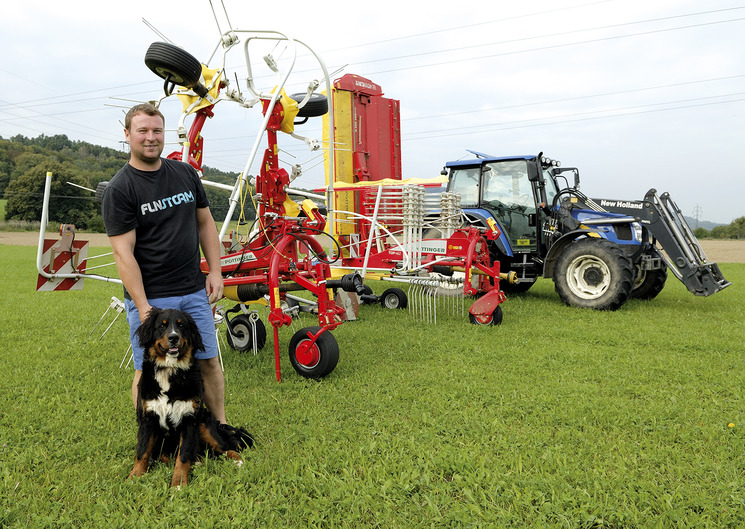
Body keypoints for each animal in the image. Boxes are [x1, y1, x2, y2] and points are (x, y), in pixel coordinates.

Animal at [128, 308, 253, 484]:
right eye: (162, 325)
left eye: (181, 325)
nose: (174, 337)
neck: (170, 371)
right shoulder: (148, 417)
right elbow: (143, 451)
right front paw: (134, 477)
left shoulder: (189, 418)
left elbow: (184, 454)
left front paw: (179, 483)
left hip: (205, 424)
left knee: (225, 449)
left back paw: (238, 462)